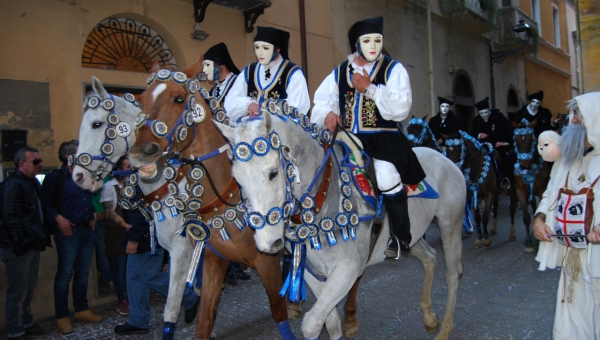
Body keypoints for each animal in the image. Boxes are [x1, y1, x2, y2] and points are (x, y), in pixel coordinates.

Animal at [128, 59, 292, 340]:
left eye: (179, 98)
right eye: (141, 100)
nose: (141, 152)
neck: (224, 197)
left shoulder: (266, 261)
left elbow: (278, 311)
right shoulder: (213, 261)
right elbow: (202, 320)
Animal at [218, 111, 466, 340]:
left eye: (273, 173)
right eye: (237, 179)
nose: (268, 242)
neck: (324, 199)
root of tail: (444, 158)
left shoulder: (347, 270)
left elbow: (312, 324)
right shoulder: (313, 273)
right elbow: (331, 323)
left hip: (450, 226)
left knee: (453, 273)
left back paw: (444, 329)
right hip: (412, 238)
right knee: (430, 257)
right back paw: (430, 319)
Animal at [508, 124, 552, 252]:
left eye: (531, 139)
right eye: (516, 140)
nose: (524, 163)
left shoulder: (542, 191)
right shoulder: (520, 192)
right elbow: (527, 217)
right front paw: (528, 241)